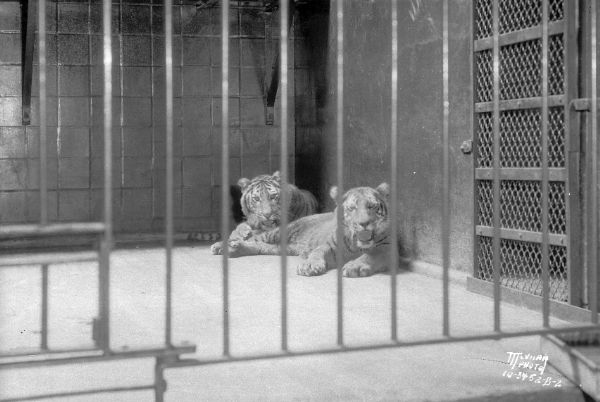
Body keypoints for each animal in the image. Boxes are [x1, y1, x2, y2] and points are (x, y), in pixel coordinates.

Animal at [223, 184, 392, 278]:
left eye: (371, 206)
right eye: (352, 208)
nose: (363, 223)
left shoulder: (386, 249)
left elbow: (370, 256)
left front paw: (355, 266)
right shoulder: (330, 246)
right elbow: (317, 252)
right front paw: (309, 266)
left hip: (280, 248)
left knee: (258, 246)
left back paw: (234, 249)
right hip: (279, 233)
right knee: (255, 238)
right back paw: (225, 246)